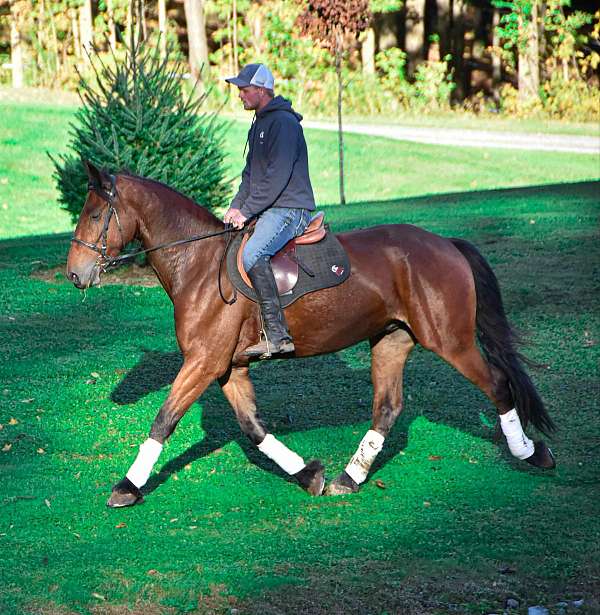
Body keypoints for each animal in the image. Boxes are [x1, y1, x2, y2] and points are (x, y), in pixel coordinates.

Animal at [67, 161, 556, 508]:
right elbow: (253, 428)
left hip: (450, 340)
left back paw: (531, 453)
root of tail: (445, 243)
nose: (74, 274)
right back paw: (348, 478)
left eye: (95, 214)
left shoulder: (203, 362)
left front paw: (127, 486)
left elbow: (164, 419)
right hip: (390, 340)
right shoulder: (227, 368)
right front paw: (308, 474)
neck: (199, 264)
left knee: (497, 384)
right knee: (387, 408)